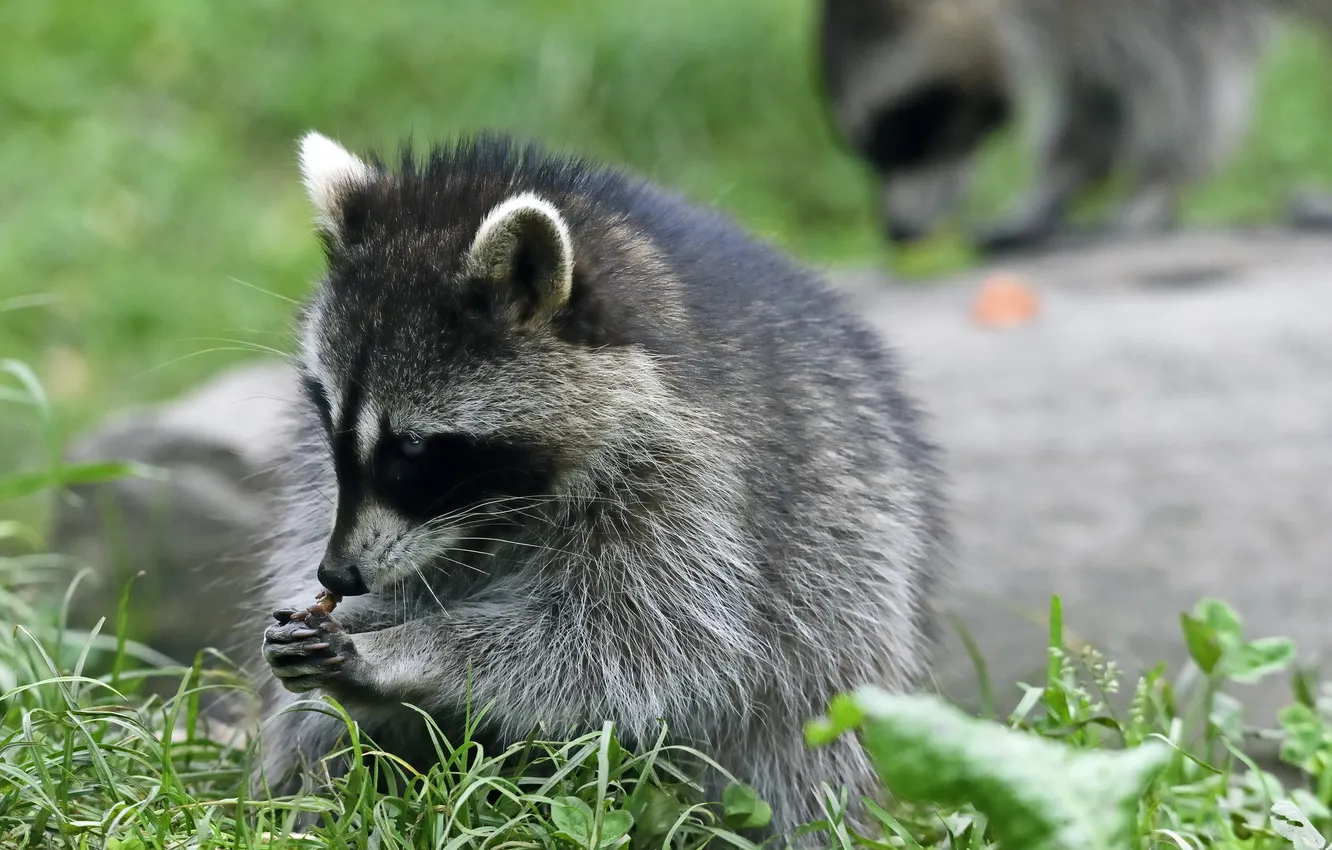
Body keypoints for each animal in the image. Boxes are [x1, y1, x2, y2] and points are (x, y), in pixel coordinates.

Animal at [248, 130, 949, 844]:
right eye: (326, 413)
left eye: (414, 448)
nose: (336, 576)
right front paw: (368, 620)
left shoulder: (693, 485)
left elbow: (629, 647)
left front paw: (406, 649)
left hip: (847, 593)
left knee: (802, 731)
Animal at [818, 0, 1331, 254]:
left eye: (900, 131)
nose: (897, 232)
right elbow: (1096, 91)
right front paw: (1052, 190)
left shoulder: (1175, 9)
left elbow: (1182, 79)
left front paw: (1158, 182)